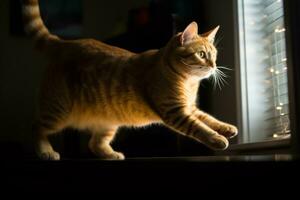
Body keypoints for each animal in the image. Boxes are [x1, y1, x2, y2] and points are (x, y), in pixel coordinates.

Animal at [22, 0, 238, 160]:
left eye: (214, 55)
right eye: (201, 54)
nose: (214, 66)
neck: (188, 83)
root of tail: (66, 43)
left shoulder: (190, 108)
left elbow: (208, 119)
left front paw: (227, 128)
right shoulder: (176, 111)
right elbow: (199, 127)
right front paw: (217, 139)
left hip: (107, 121)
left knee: (94, 143)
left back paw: (111, 154)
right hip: (58, 110)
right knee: (36, 127)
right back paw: (46, 152)